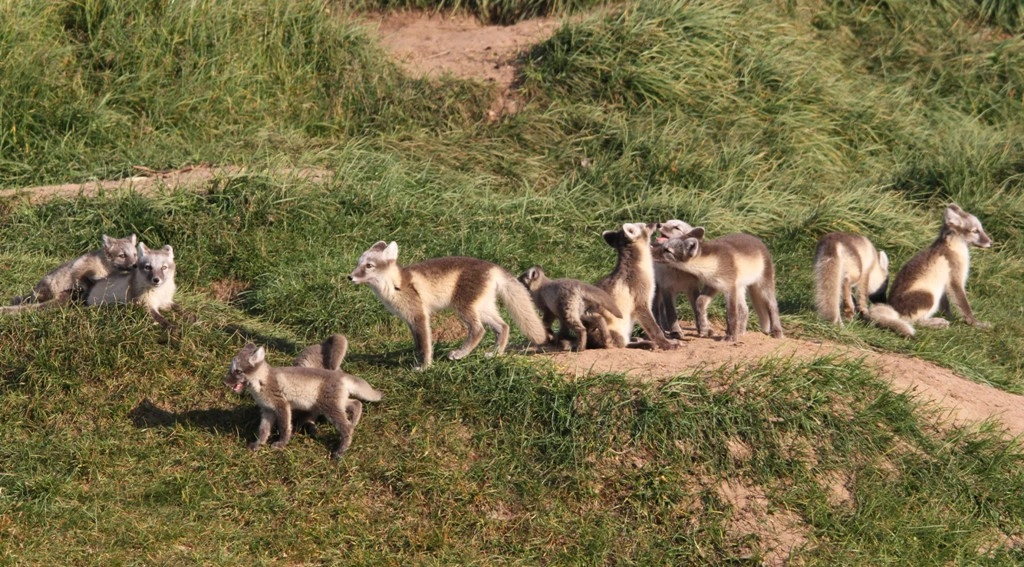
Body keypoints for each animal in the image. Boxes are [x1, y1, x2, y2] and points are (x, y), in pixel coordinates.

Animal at [4, 232, 138, 311]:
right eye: (122, 255)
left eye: (135, 254)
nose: (135, 265)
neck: (105, 269)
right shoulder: (80, 269)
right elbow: (84, 282)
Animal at [647, 228, 782, 339]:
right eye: (662, 245)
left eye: (667, 250)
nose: (650, 248)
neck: (712, 264)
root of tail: (757, 239)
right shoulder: (713, 285)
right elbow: (699, 302)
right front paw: (703, 328)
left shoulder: (729, 288)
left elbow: (731, 314)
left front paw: (731, 337)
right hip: (740, 288)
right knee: (744, 309)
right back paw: (741, 332)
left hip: (763, 286)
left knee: (772, 306)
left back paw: (776, 331)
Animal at [868, 203, 995, 333]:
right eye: (975, 231)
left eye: (981, 229)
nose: (991, 242)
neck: (953, 247)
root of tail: (892, 308)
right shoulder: (955, 281)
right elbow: (965, 307)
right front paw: (977, 324)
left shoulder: (944, 285)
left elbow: (946, 307)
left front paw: (951, 318)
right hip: (929, 297)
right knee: (913, 322)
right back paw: (937, 323)